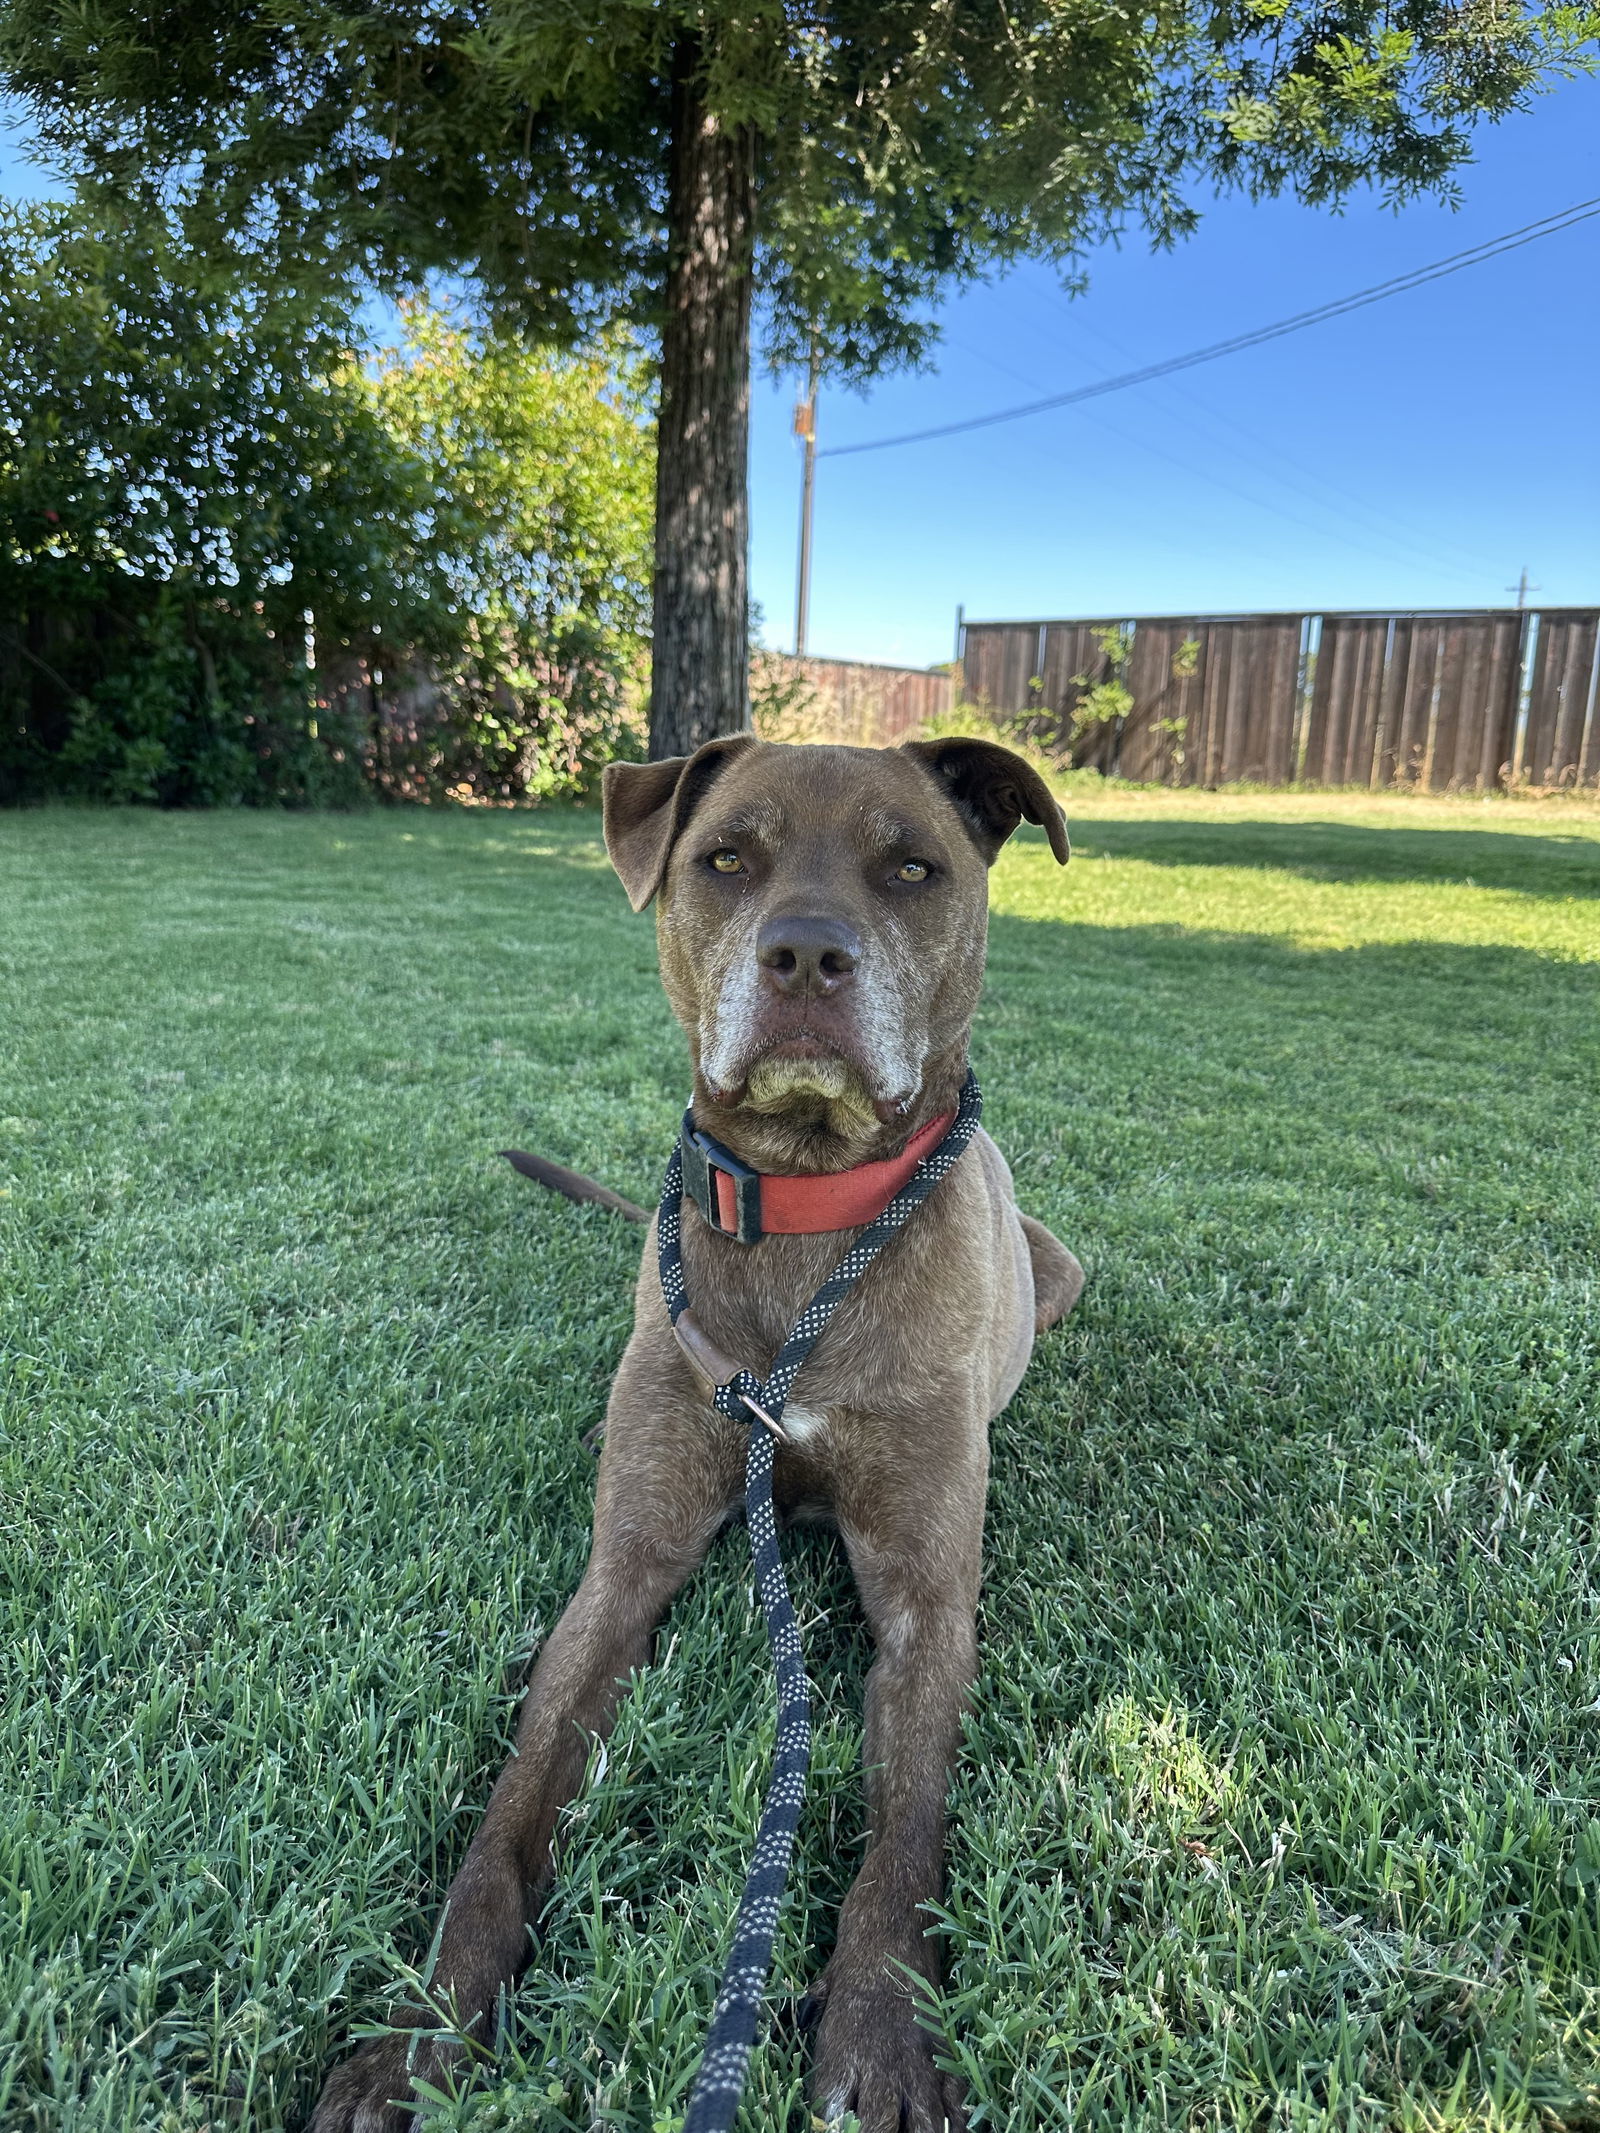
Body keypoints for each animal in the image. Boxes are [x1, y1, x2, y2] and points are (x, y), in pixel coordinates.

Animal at [309, 733, 1092, 2133]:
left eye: (912, 868)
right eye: (726, 858)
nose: (807, 956)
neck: (806, 1212)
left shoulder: (927, 1601)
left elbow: (904, 1831)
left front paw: (883, 2031)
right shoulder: (623, 1568)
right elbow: (506, 1819)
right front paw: (419, 2035)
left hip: (1059, 1269)